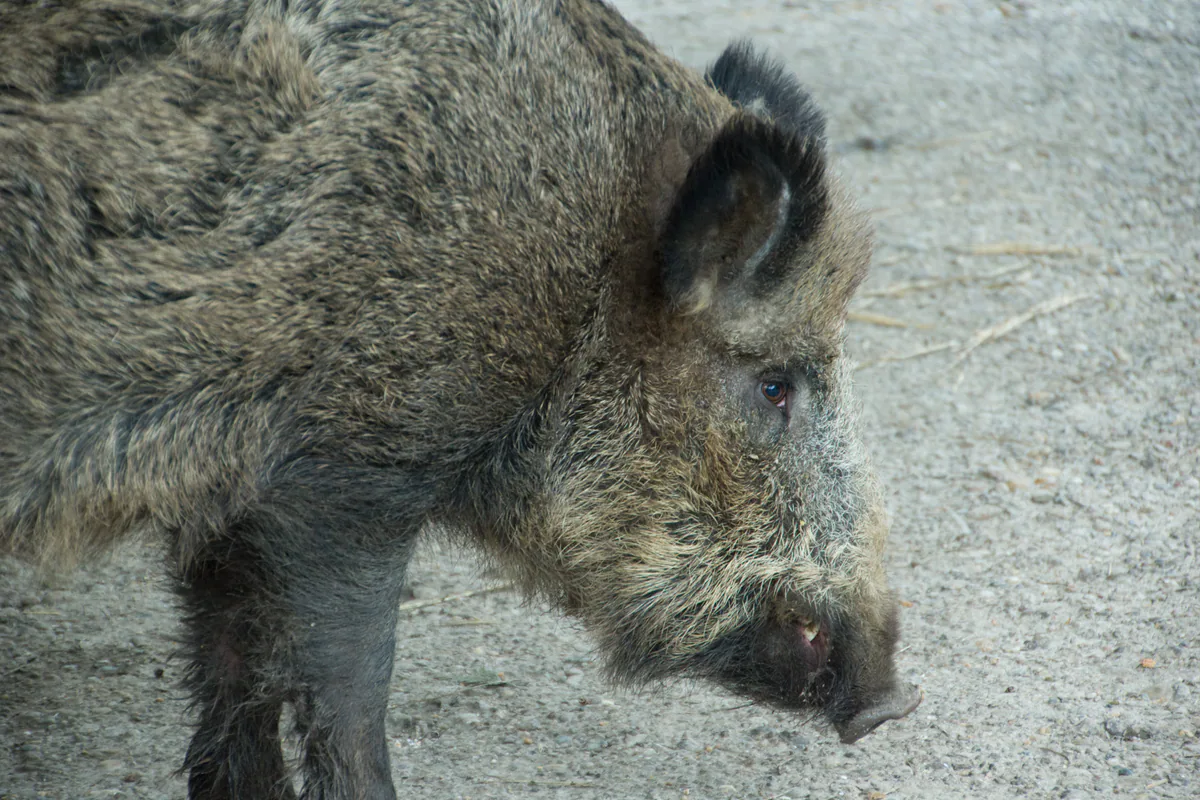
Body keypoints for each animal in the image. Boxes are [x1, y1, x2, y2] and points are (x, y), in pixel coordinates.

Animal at [0, 0, 922, 797]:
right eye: (775, 386)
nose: (892, 703)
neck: (567, 294)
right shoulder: (349, 470)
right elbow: (347, 680)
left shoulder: (224, 493)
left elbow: (228, 663)